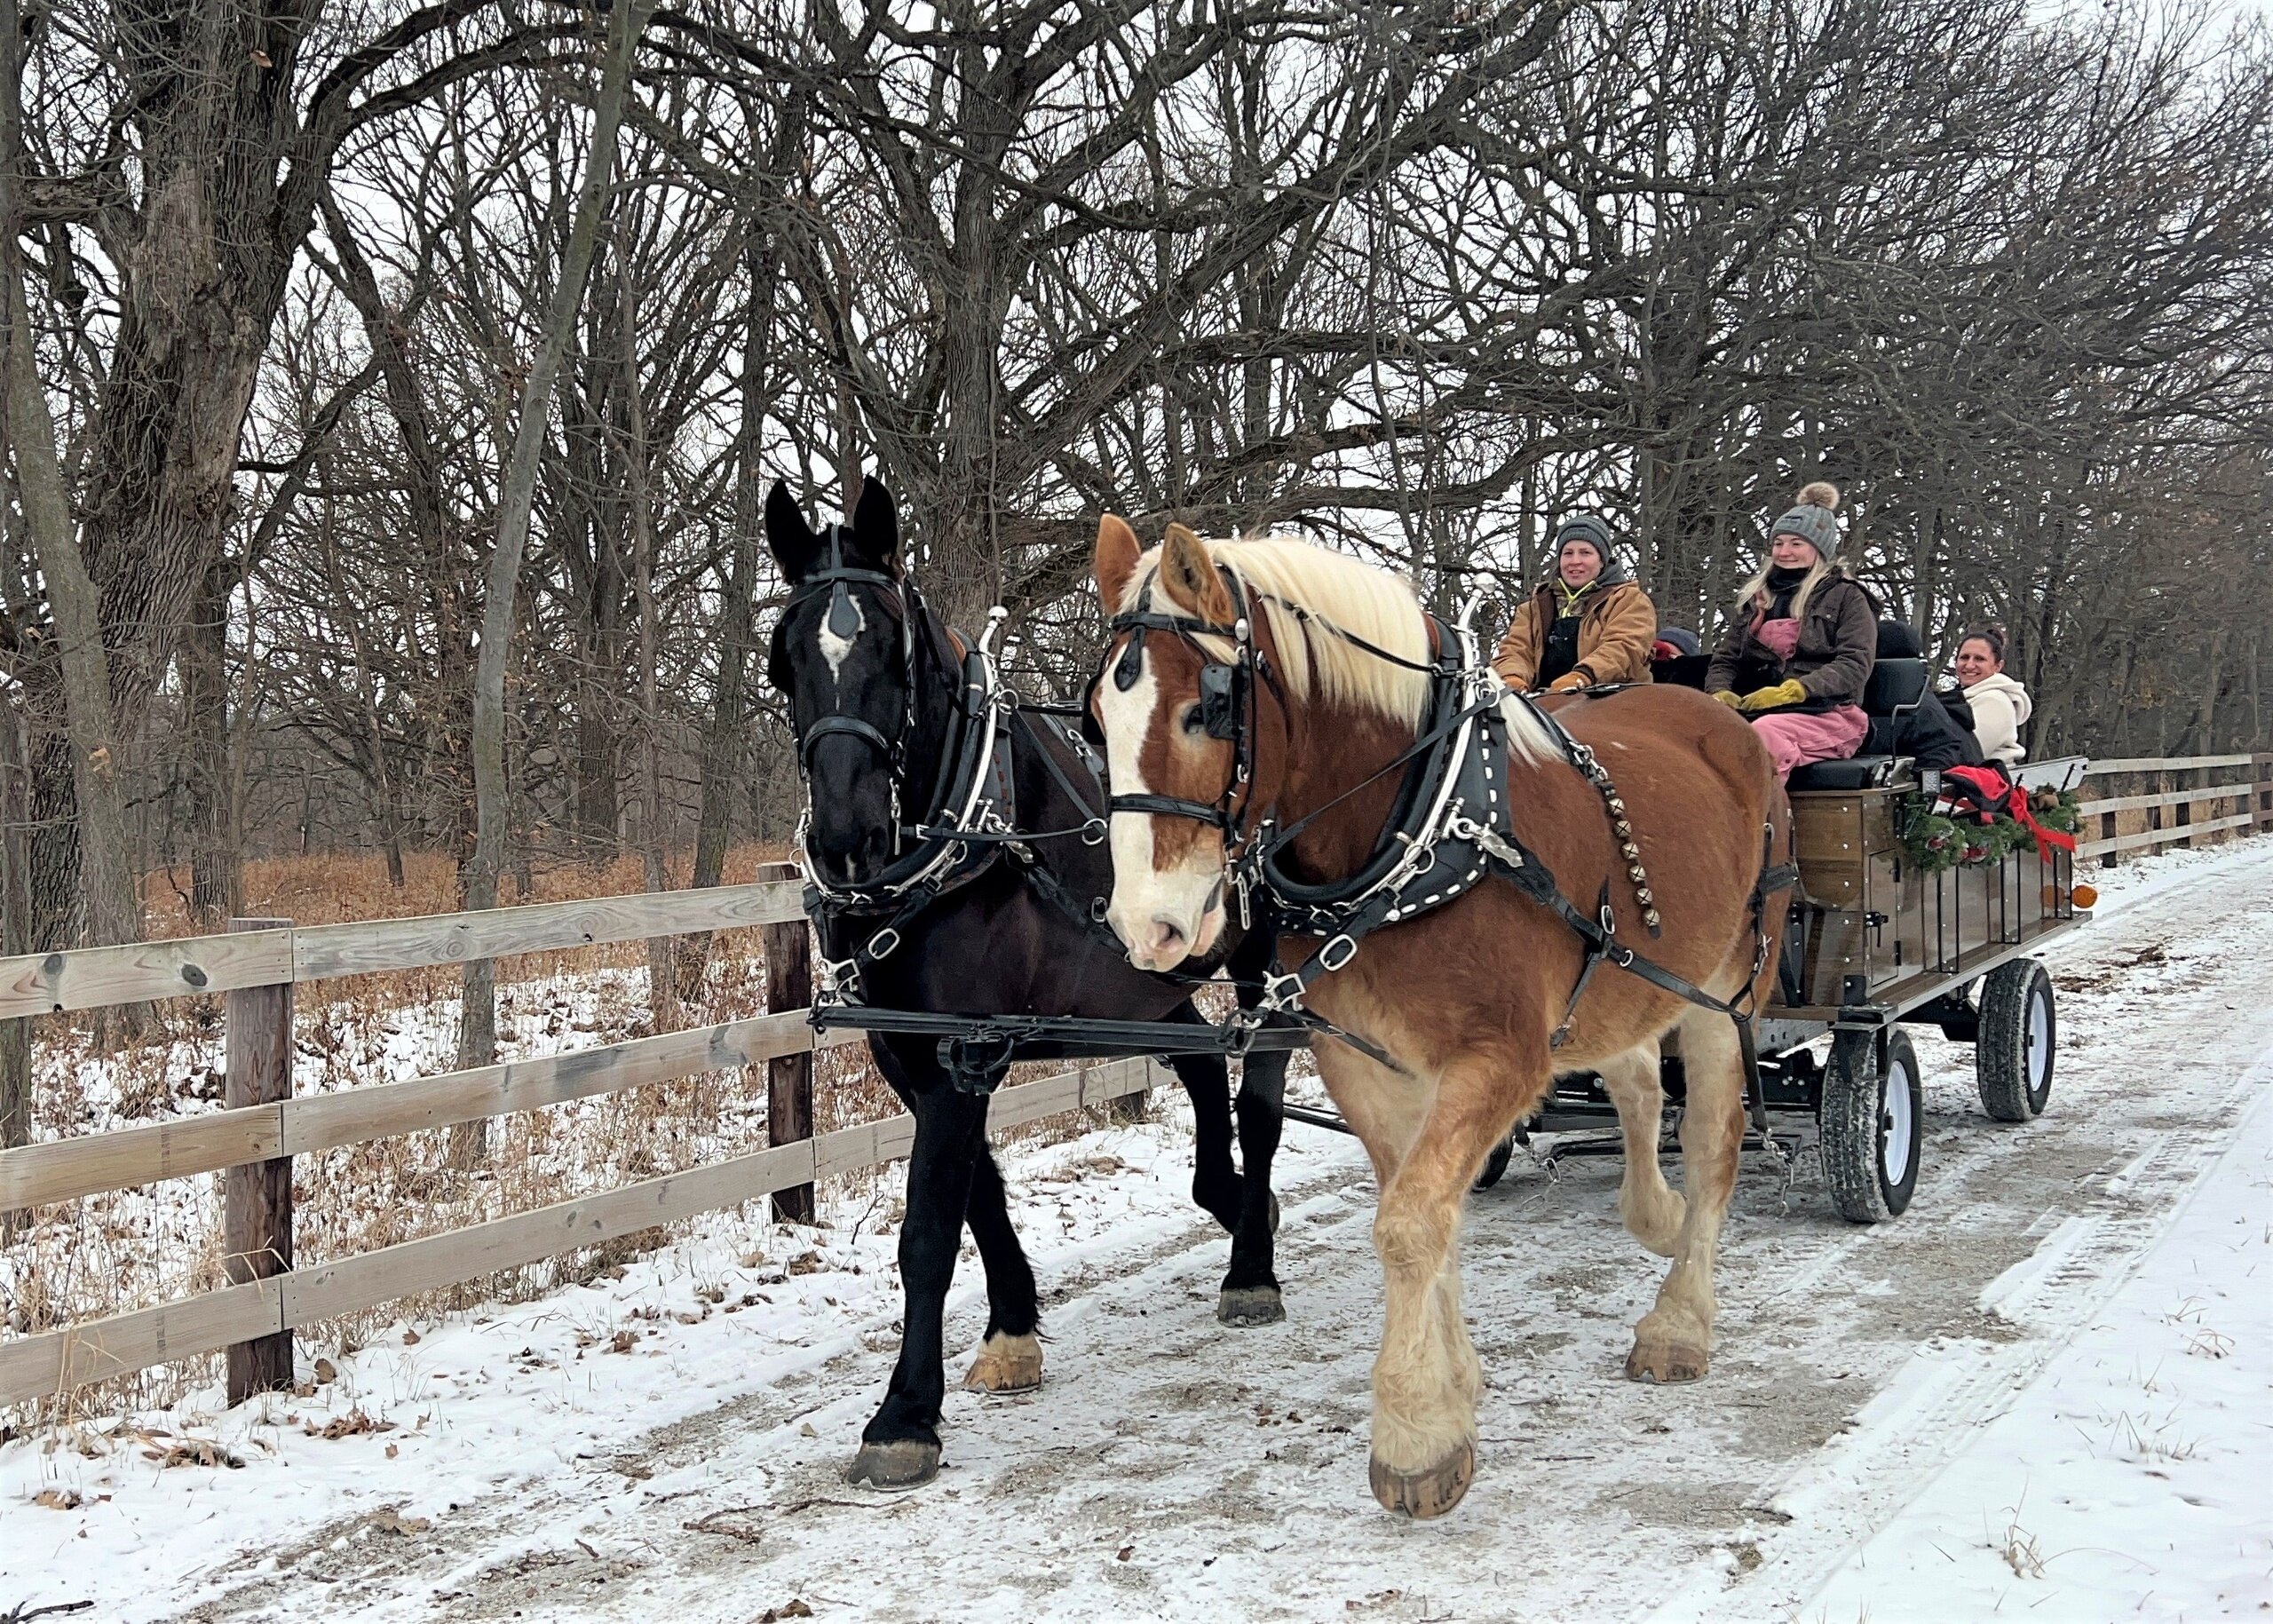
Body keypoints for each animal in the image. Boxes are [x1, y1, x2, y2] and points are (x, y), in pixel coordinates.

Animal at [764, 479, 1292, 1490]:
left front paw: (904, 1413)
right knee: (1205, 1072)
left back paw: (1252, 1261)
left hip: (1271, 962)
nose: (846, 835)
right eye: (786, 657)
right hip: (1150, 983)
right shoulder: (915, 1046)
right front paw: (1011, 1327)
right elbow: (979, 1191)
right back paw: (1231, 1197)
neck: (970, 825)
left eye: (892, 653)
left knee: (1261, 1096)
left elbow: (930, 1227)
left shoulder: (964, 1047)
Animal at [1084, 515, 1792, 1518]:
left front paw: (1415, 1433)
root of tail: (1722, 717)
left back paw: (1680, 1319)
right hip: (1621, 980)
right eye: (1094, 720)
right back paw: (1652, 1213)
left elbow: (1411, 1221)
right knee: (1633, 1075)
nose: (1148, 927)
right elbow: (1424, 1211)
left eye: (1206, 711)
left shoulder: (1497, 1057)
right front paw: (1451, 1393)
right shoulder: (1369, 1061)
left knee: (1713, 1138)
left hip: (1728, 989)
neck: (1416, 826)